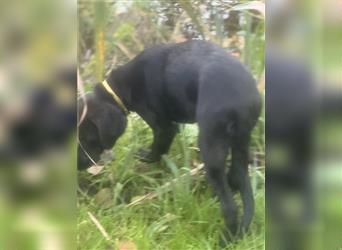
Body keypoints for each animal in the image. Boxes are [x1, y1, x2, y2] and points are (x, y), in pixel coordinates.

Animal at [77, 41, 260, 240]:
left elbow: (158, 148)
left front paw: (146, 157)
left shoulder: (163, 127)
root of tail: (242, 99)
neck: (123, 86)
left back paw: (227, 238)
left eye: (87, 139)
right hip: (241, 141)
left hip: (211, 145)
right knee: (237, 177)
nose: (78, 166)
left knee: (230, 207)